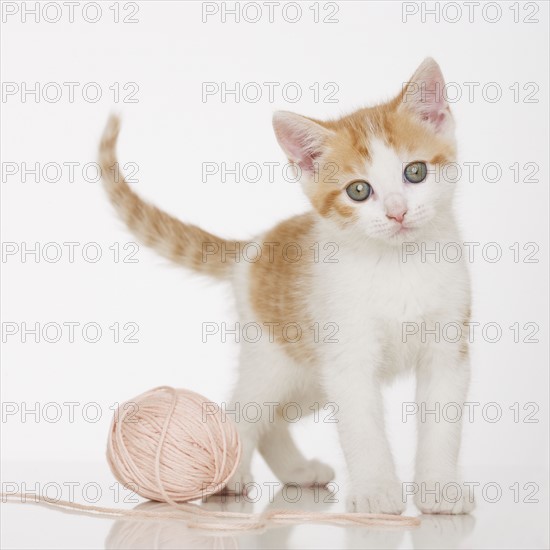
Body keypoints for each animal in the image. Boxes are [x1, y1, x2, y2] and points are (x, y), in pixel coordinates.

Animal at [101, 58, 476, 516]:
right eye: (358, 190)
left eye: (415, 172)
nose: (397, 212)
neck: (398, 264)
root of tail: (252, 248)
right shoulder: (348, 358)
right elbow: (361, 426)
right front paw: (376, 491)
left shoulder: (447, 348)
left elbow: (443, 424)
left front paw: (439, 489)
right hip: (273, 357)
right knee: (244, 407)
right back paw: (231, 476)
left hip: (308, 373)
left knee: (275, 419)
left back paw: (297, 471)